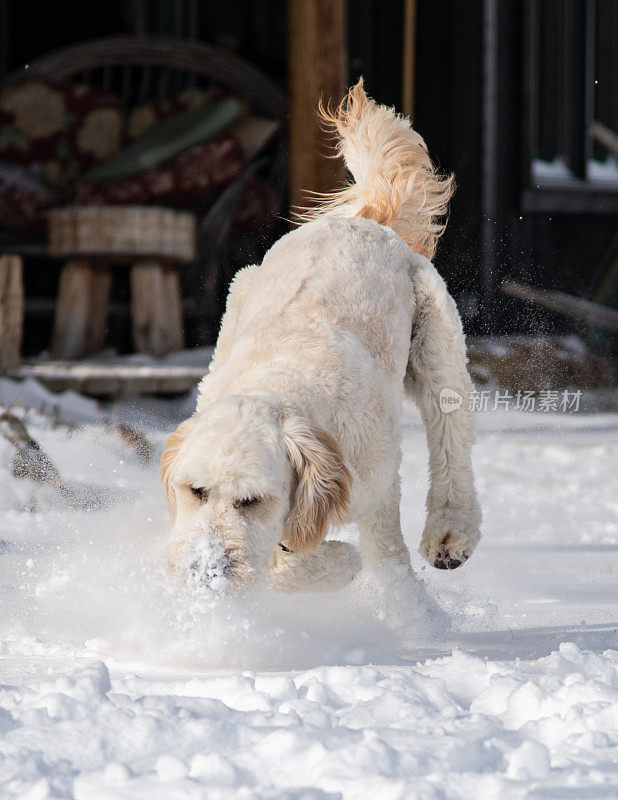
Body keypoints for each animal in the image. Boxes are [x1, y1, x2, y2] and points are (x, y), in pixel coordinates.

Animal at [161, 81, 478, 592]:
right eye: (196, 491)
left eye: (251, 501)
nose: (204, 573)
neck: (280, 388)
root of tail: (365, 219)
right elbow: (284, 559)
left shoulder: (379, 484)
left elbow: (369, 555)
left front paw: (363, 575)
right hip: (238, 295)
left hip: (439, 348)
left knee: (452, 441)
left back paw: (451, 534)